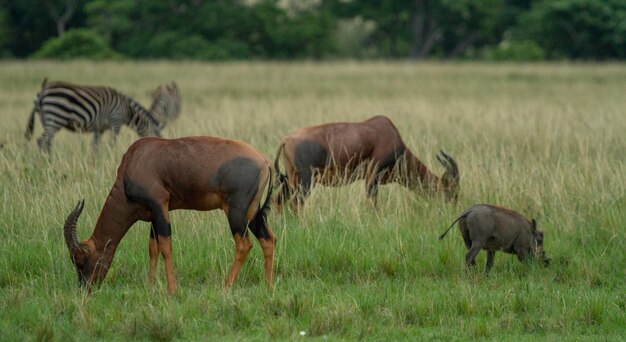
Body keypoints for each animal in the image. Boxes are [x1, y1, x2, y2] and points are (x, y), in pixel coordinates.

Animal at [24, 78, 161, 153]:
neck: (128, 110)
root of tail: (43, 91)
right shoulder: (116, 120)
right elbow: (112, 142)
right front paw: (111, 155)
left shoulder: (99, 128)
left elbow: (95, 146)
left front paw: (95, 161)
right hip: (55, 117)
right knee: (42, 141)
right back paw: (44, 162)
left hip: (46, 119)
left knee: (47, 142)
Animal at [62, 136, 274, 294]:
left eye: (80, 260)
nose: (85, 290)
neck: (135, 160)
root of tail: (264, 161)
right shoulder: (153, 214)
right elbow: (152, 248)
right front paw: (150, 286)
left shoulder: (159, 206)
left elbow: (165, 246)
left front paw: (172, 290)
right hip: (252, 213)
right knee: (268, 239)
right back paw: (268, 285)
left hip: (236, 211)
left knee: (244, 244)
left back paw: (226, 286)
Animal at [272, 115, 458, 211]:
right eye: (451, 189)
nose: (455, 208)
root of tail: (286, 140)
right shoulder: (373, 175)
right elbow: (373, 202)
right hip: (305, 181)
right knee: (297, 204)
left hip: (291, 180)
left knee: (278, 200)